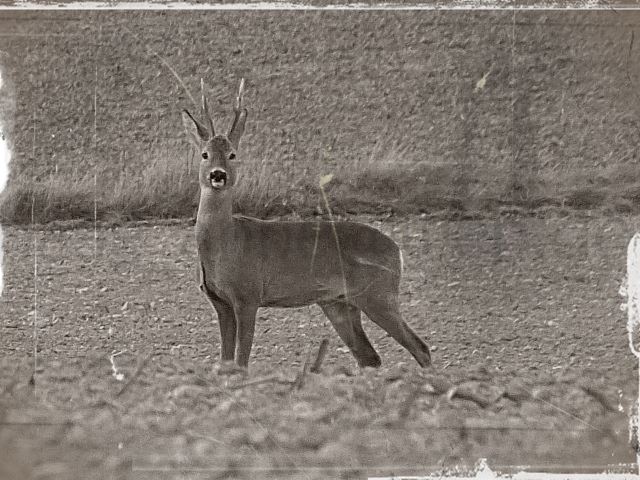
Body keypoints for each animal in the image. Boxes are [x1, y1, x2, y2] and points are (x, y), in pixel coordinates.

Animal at [181, 79, 430, 374]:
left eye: (232, 154)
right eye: (205, 154)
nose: (217, 174)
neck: (226, 244)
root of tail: (397, 251)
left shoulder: (248, 294)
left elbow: (242, 360)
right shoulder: (220, 302)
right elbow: (225, 361)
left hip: (378, 294)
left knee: (420, 347)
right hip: (338, 303)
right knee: (369, 356)